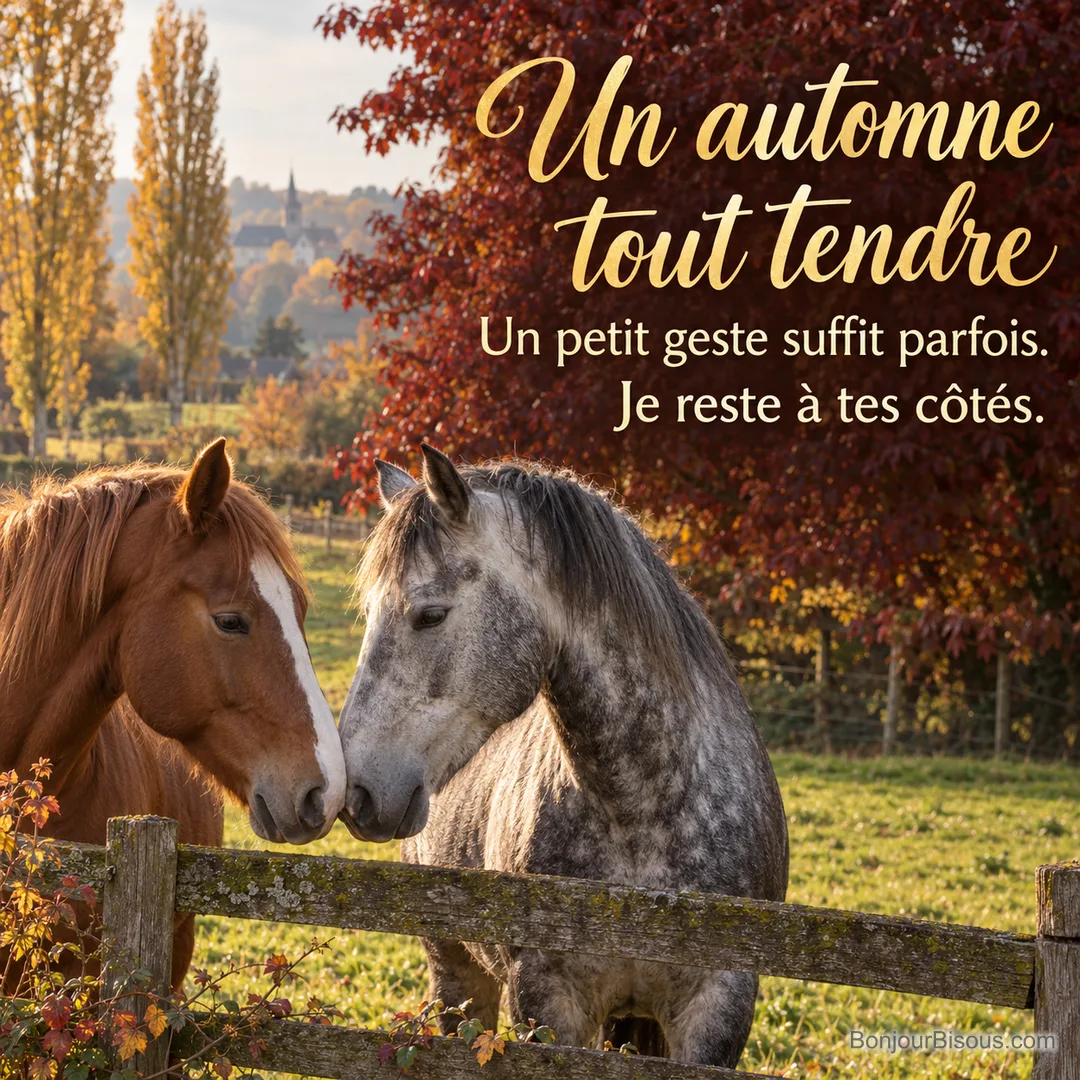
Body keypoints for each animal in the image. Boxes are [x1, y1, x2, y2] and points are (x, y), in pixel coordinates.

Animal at [337, 444, 789, 1067]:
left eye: (429, 614)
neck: (641, 813)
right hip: (456, 972)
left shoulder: (720, 1007)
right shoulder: (546, 1002)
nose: (355, 790)